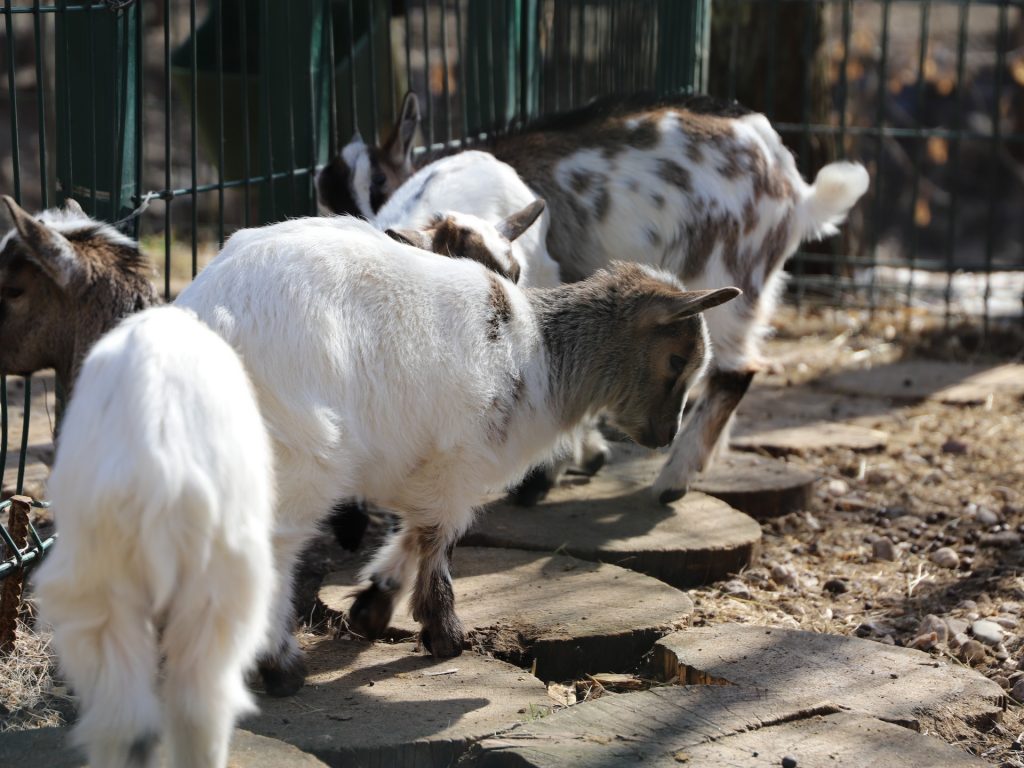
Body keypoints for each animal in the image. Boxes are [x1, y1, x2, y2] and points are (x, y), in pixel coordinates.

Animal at [175, 213, 739, 694]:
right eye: (676, 360)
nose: (665, 436)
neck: (540, 351)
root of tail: (216, 318)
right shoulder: (458, 460)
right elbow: (437, 539)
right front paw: (445, 635)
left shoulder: (420, 463)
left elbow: (415, 532)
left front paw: (374, 606)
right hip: (300, 459)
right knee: (268, 554)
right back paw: (280, 668)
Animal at [318, 92, 869, 503]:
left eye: (381, 178)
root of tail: (790, 180)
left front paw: (559, 465)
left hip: (729, 271)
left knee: (738, 369)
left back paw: (673, 480)